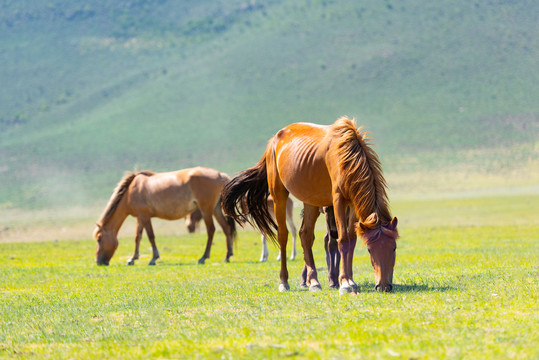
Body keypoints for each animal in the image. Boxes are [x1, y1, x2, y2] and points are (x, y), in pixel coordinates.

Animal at [94, 167, 236, 266]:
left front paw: (153, 258)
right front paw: (132, 258)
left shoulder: (145, 216)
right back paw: (227, 256)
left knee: (211, 230)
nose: (98, 261)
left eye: (99, 239)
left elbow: (151, 236)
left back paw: (203, 257)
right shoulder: (140, 217)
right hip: (216, 209)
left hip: (206, 210)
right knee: (226, 228)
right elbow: (137, 237)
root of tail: (221, 175)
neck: (131, 191)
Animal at [221, 116, 398, 294]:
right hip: (279, 196)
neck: (345, 156)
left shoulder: (353, 204)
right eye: (369, 249)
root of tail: (274, 140)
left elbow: (351, 240)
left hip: (310, 201)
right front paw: (345, 283)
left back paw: (313, 282)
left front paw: (351, 281)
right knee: (283, 235)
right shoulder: (338, 201)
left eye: (394, 248)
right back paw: (284, 282)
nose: (384, 286)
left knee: (305, 235)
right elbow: (342, 239)